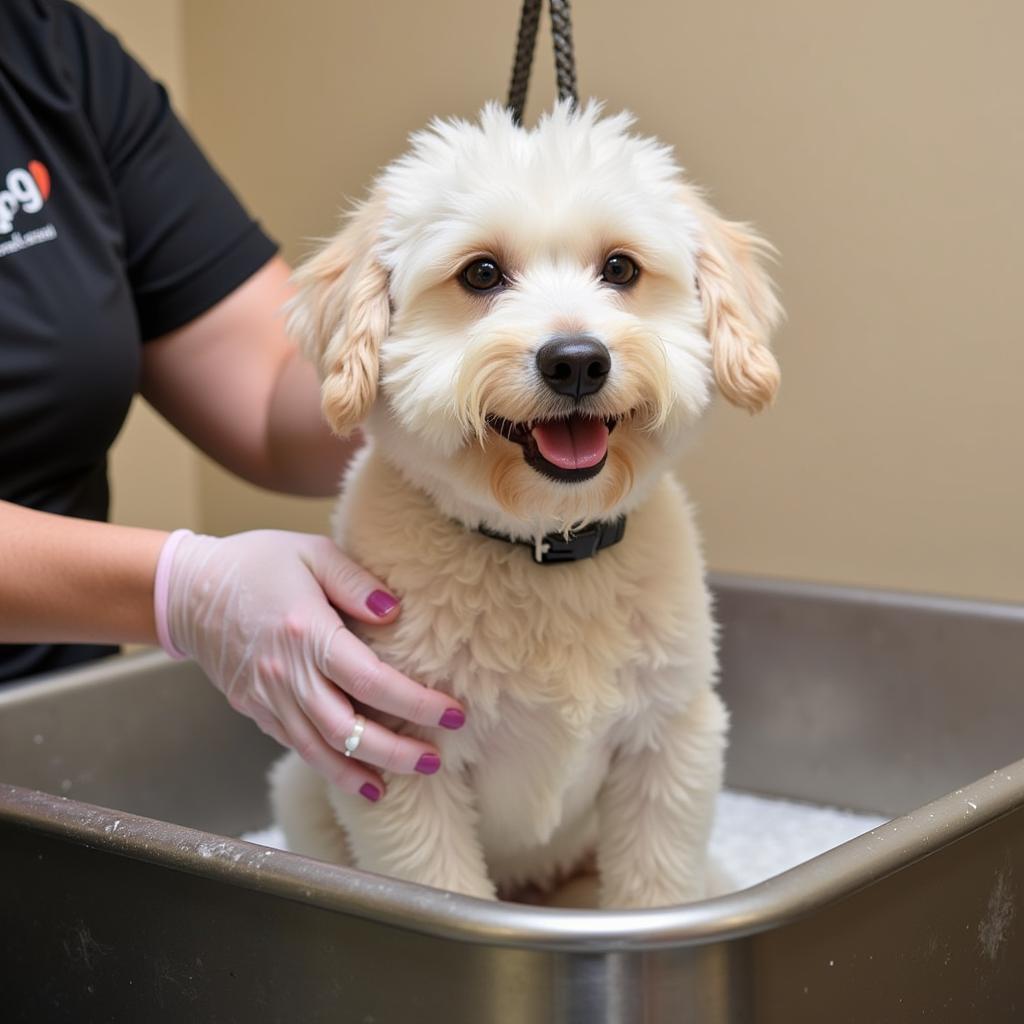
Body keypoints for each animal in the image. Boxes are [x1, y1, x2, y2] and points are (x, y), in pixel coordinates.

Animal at [268, 101, 778, 905]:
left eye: (620, 268)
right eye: (481, 273)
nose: (577, 360)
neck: (545, 549)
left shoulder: (673, 740)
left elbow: (659, 887)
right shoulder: (403, 761)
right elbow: (439, 881)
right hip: (299, 788)